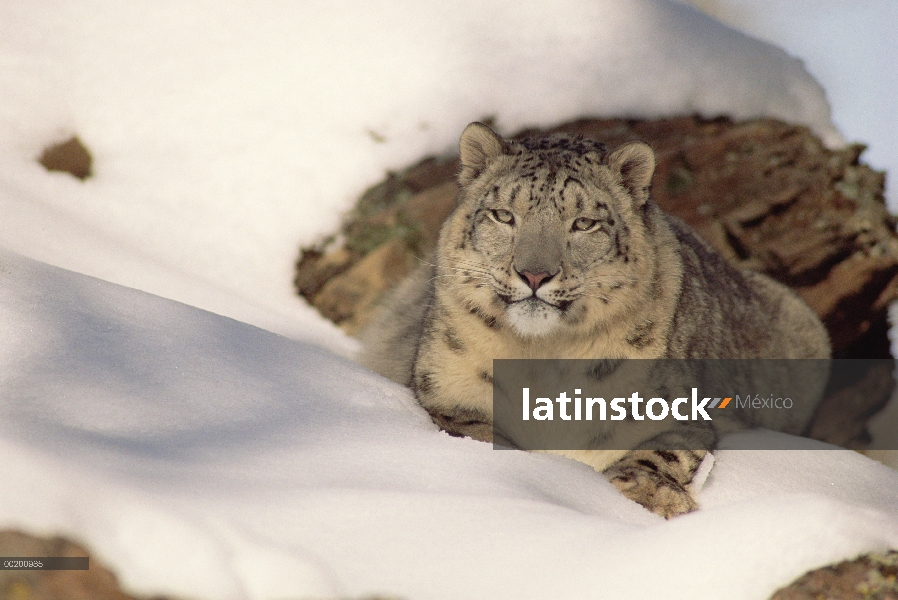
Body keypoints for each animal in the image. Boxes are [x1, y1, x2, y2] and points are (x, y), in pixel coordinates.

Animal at [358, 123, 824, 520]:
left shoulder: (676, 410)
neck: (540, 356)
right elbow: (476, 432)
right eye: (504, 215)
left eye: (584, 223)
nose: (534, 275)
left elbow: (663, 451)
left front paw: (651, 496)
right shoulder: (449, 391)